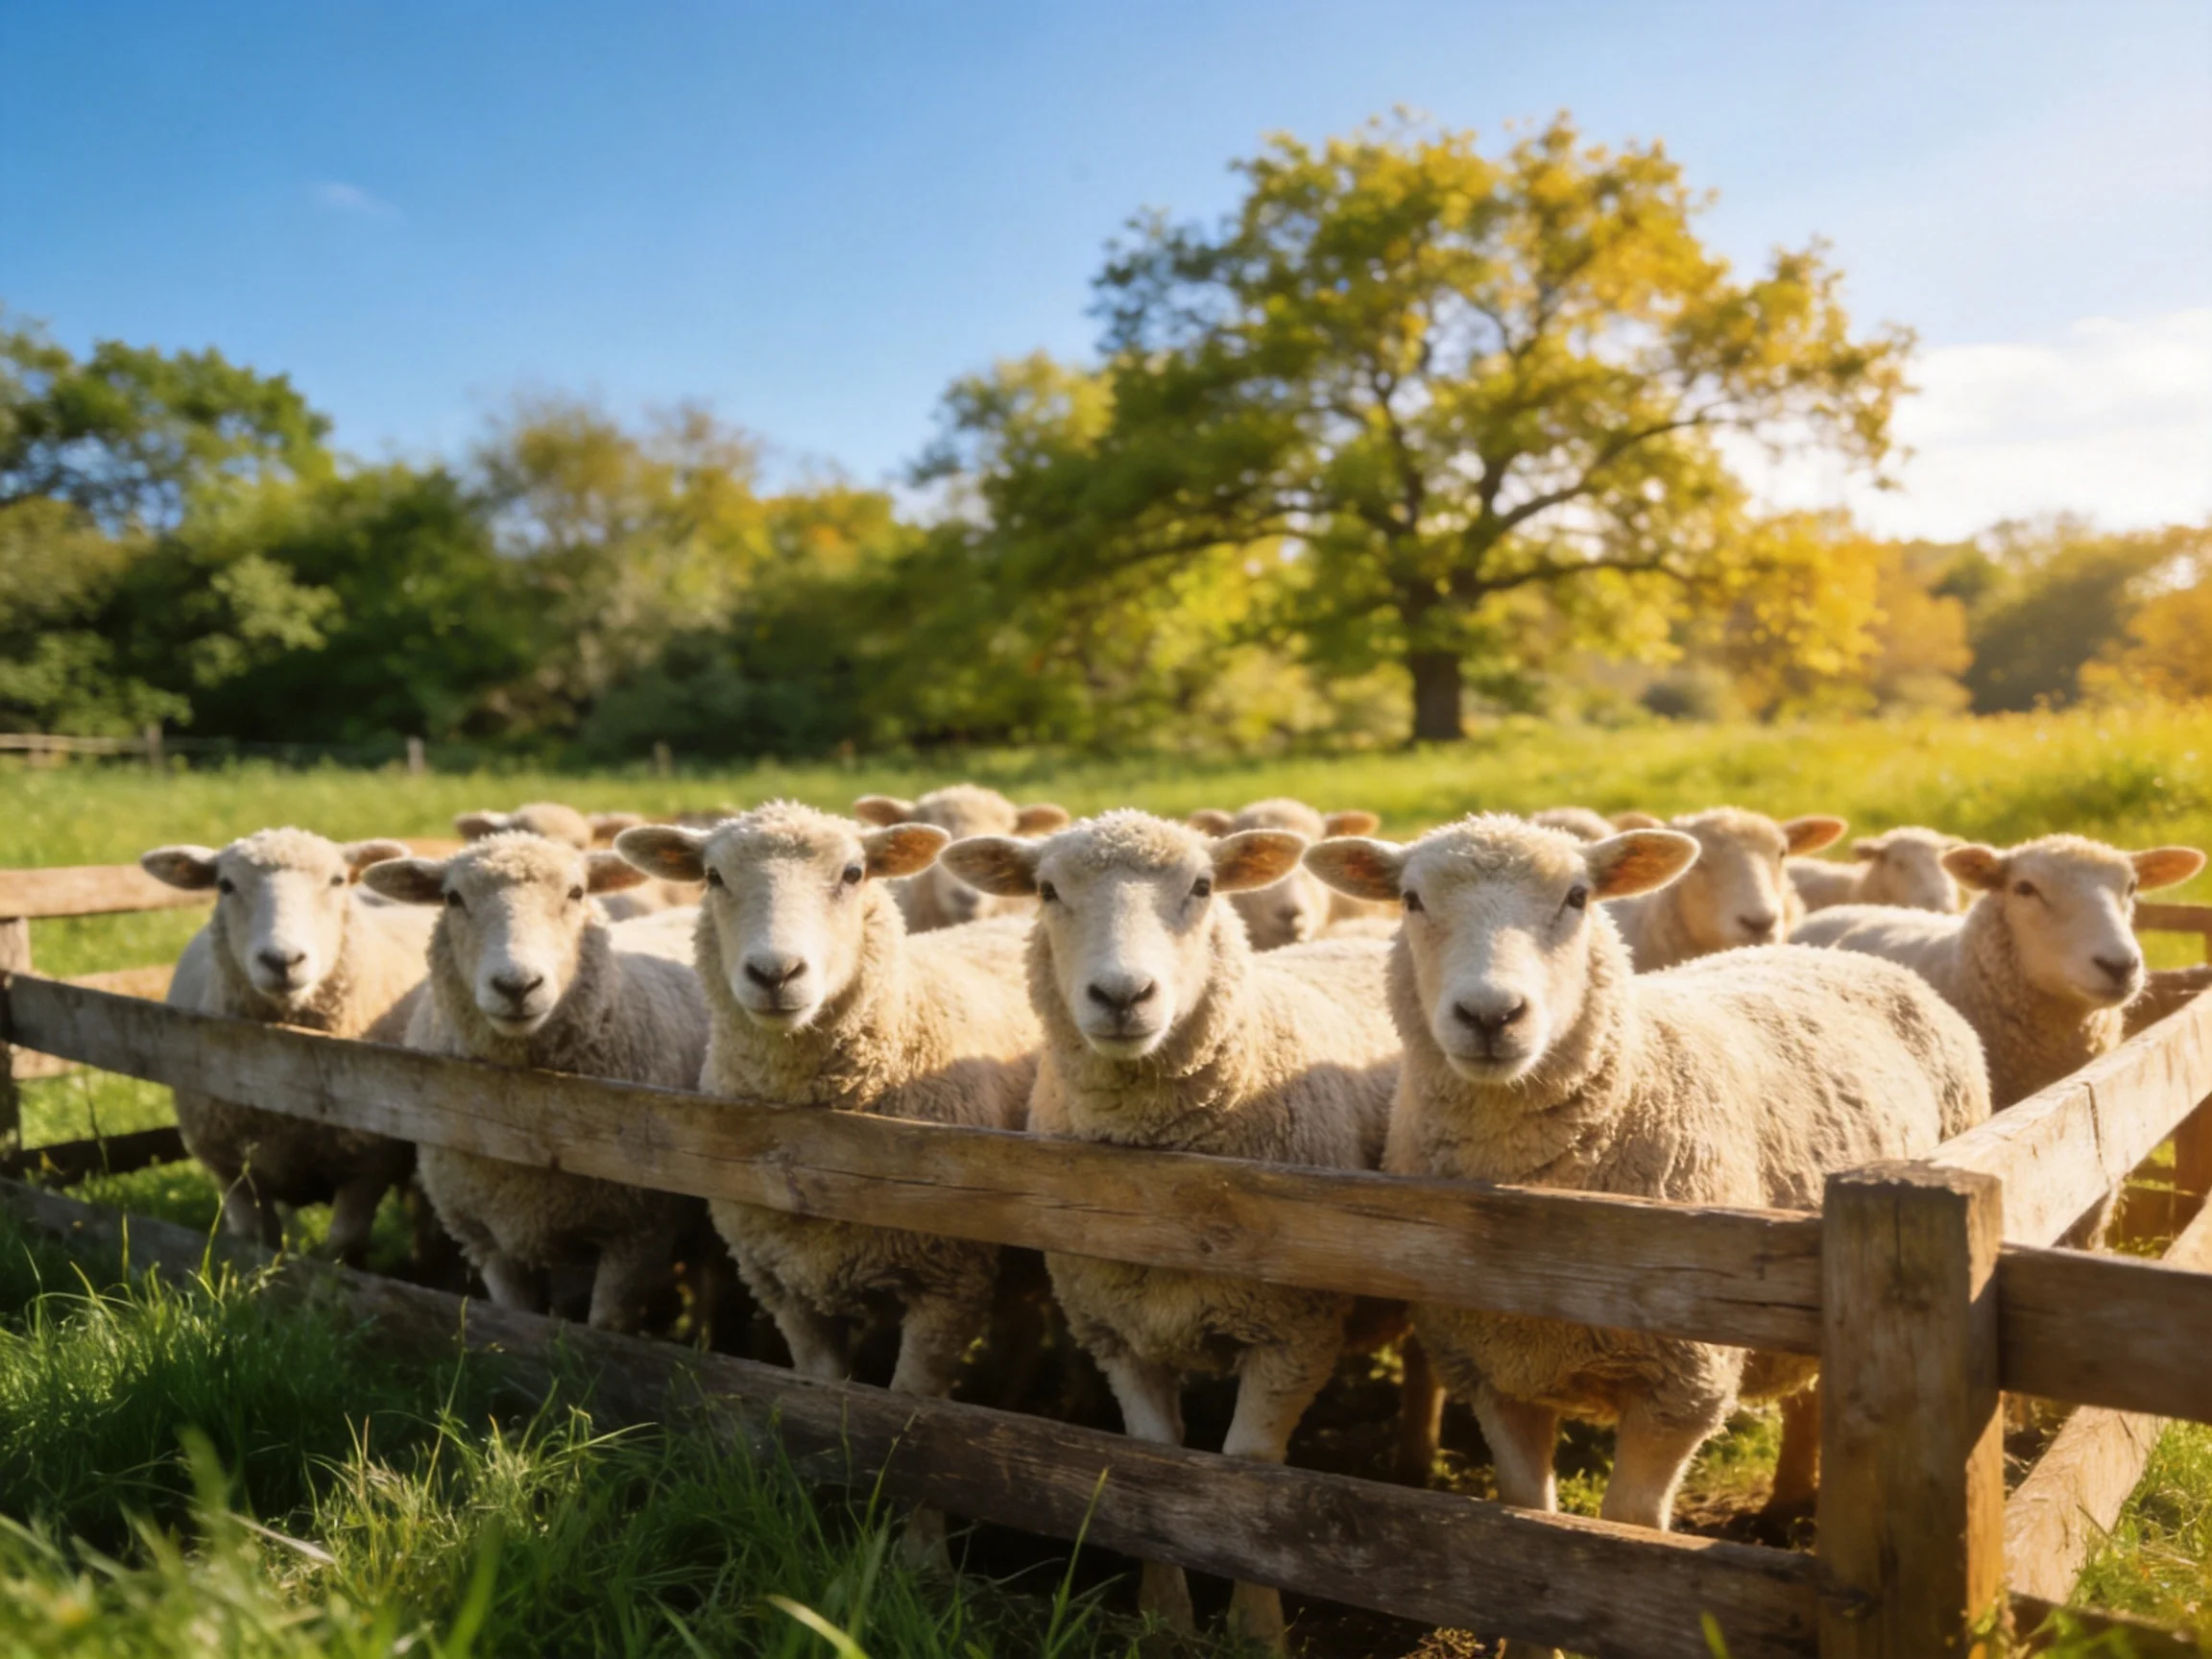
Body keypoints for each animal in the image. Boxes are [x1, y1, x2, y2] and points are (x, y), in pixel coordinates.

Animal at [141, 829, 428, 1263]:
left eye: (337, 881)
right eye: (225, 885)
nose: (282, 960)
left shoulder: (368, 1166)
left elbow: (344, 1245)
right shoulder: (230, 1168)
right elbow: (255, 1242)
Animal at [361, 833, 710, 1331]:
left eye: (577, 892)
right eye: (453, 898)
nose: (516, 986)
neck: (530, 1107)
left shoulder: (638, 1237)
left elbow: (605, 1327)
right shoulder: (487, 1239)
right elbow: (518, 1315)